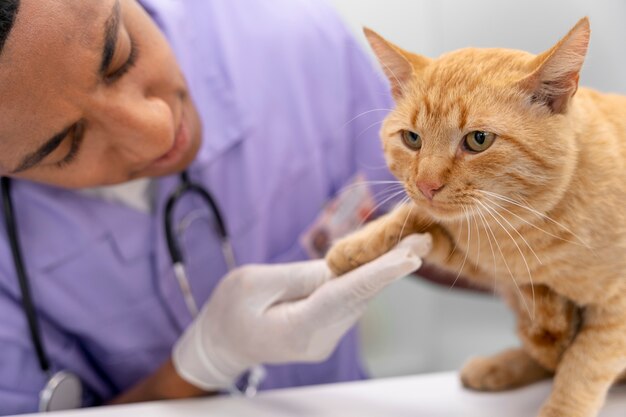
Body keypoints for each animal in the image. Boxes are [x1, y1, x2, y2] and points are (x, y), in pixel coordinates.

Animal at [324, 17, 624, 416]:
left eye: (478, 140)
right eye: (412, 139)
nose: (427, 184)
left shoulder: (616, 308)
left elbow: (584, 365)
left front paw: (561, 409)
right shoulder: (488, 267)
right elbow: (413, 219)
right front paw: (354, 246)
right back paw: (499, 366)